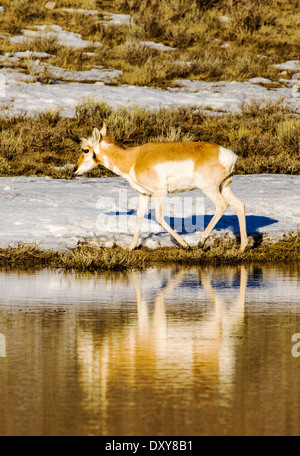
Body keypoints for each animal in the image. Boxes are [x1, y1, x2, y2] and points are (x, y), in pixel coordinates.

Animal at [67, 124, 246, 249]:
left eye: (85, 150)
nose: (75, 169)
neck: (133, 158)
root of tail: (229, 155)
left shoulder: (160, 193)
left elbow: (159, 217)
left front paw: (185, 245)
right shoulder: (144, 194)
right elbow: (139, 217)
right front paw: (131, 247)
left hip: (210, 189)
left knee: (222, 205)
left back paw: (201, 242)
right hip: (225, 187)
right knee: (239, 206)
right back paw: (242, 247)